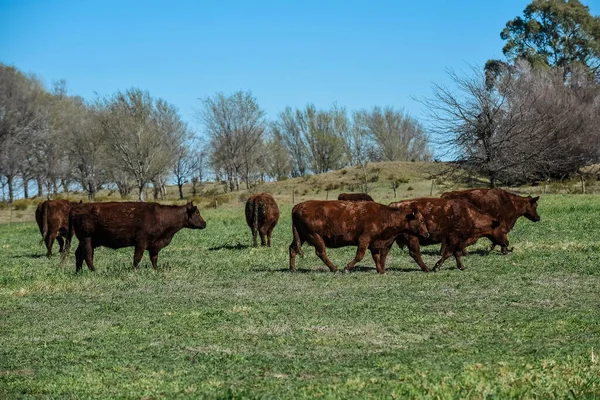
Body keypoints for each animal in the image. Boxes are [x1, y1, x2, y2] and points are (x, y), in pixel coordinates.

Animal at [67, 202, 206, 274]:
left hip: (85, 241)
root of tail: (76, 207)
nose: (205, 224)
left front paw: (156, 270)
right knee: (88, 256)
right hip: (87, 239)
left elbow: (154, 259)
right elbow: (137, 258)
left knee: (78, 254)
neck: (159, 216)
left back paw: (78, 272)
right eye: (197, 212)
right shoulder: (141, 243)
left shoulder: (154, 245)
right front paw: (134, 270)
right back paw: (94, 271)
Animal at [290, 200, 426, 276]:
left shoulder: (374, 243)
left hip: (301, 237)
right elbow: (360, 256)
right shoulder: (364, 239)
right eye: (421, 220)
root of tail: (297, 206)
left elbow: (376, 257)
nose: (427, 234)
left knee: (292, 249)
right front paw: (347, 268)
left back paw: (293, 269)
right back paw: (334, 269)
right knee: (321, 252)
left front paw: (381, 271)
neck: (385, 216)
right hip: (315, 236)